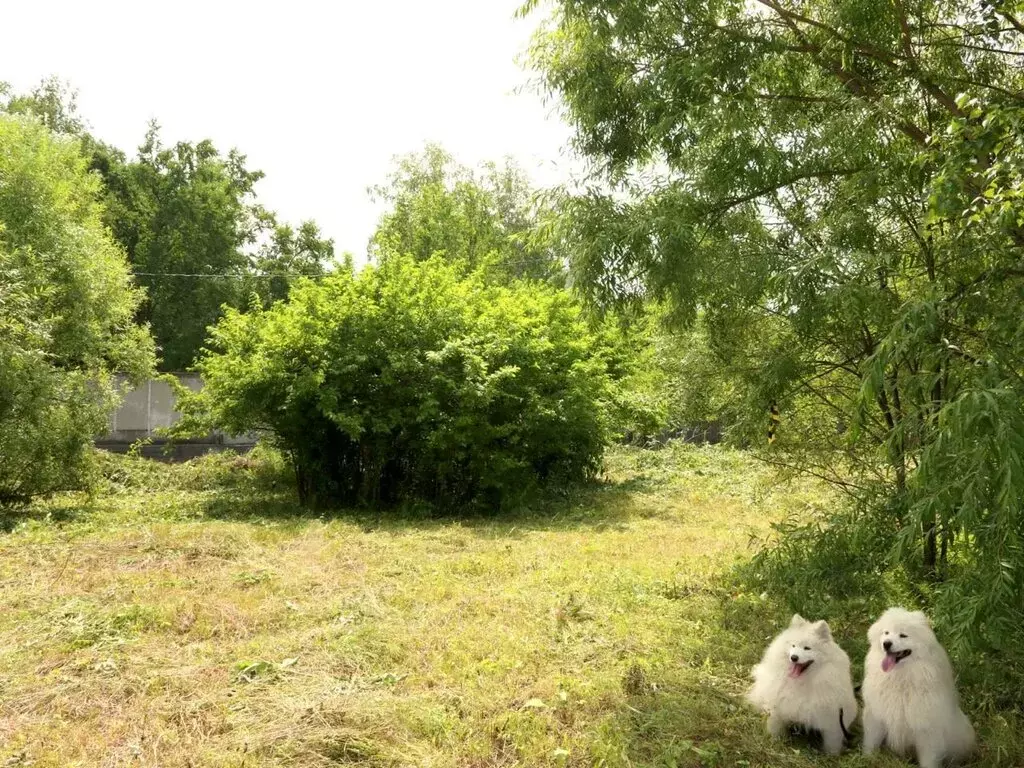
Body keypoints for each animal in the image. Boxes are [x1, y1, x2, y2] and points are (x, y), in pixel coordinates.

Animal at [745, 614, 856, 757]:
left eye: (807, 648)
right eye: (793, 645)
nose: (794, 657)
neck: (802, 682)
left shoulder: (832, 716)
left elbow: (832, 739)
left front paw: (831, 754)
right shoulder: (779, 705)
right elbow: (775, 725)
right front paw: (775, 740)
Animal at [860, 610, 970, 765]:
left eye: (903, 635)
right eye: (886, 633)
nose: (886, 643)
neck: (900, 679)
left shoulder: (927, 731)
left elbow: (929, 760)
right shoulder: (876, 716)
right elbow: (870, 743)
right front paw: (867, 759)